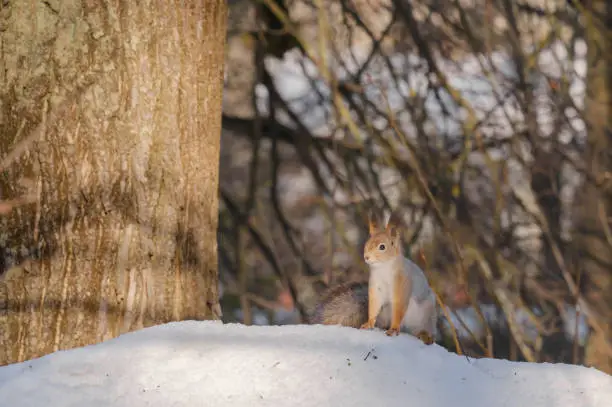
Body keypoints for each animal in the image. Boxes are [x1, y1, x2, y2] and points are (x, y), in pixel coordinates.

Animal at [310, 212, 440, 346]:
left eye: (382, 247)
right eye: (367, 244)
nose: (366, 257)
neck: (383, 267)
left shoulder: (403, 284)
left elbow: (399, 308)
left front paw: (394, 328)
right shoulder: (376, 287)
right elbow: (374, 306)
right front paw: (369, 323)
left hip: (425, 315)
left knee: (424, 328)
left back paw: (425, 335)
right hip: (385, 312)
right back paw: (383, 326)